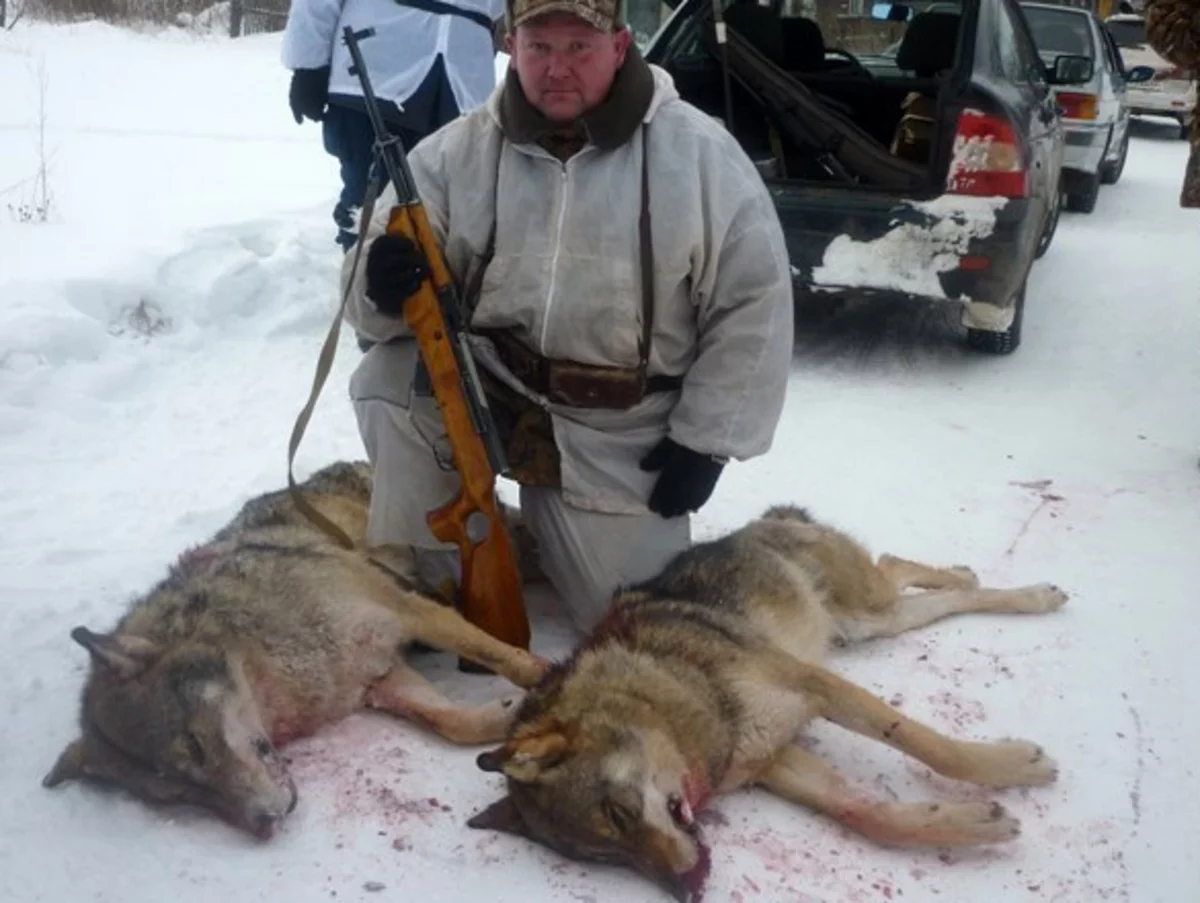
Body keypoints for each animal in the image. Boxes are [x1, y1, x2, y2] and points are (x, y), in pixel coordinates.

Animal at [42, 461, 547, 845]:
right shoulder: (377, 678)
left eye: (196, 747)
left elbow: (505, 658)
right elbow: (451, 723)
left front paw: (547, 680)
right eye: (183, 795)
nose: (263, 825)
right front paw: (508, 714)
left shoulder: (406, 610)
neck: (271, 658)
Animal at [468, 504, 1070, 898]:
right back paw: (1003, 589)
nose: (685, 890)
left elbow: (933, 747)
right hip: (870, 623)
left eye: (617, 816)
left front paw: (1015, 767)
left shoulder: (815, 687)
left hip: (864, 608)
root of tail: (757, 523)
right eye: (607, 859)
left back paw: (1017, 590)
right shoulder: (777, 760)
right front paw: (975, 822)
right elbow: (868, 814)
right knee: (926, 595)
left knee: (897, 567)